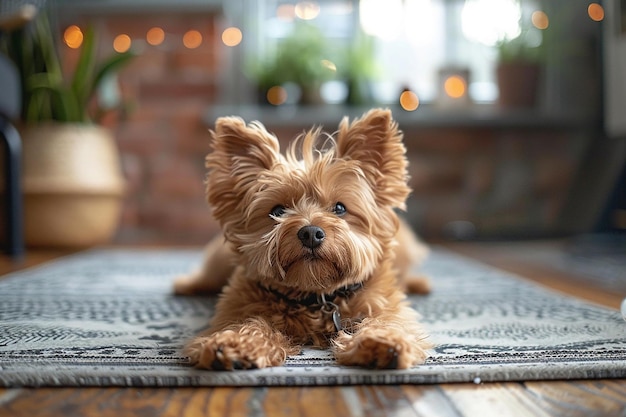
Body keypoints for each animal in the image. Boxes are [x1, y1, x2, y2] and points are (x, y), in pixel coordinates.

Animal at [173, 108, 432, 370]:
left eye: (340, 208)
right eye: (278, 211)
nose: (310, 233)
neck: (317, 298)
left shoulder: (385, 305)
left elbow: (388, 322)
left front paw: (382, 341)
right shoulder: (238, 308)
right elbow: (248, 324)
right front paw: (234, 343)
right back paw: (187, 285)